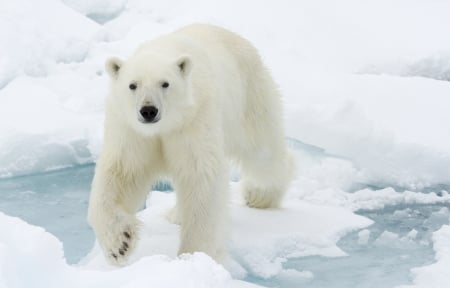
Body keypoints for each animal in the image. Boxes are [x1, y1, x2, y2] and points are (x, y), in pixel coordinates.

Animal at [88, 23, 296, 264]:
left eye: (165, 83)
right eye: (133, 85)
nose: (148, 110)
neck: (164, 126)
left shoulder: (194, 119)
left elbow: (200, 176)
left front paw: (194, 255)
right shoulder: (131, 130)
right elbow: (122, 173)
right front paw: (119, 243)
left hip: (249, 98)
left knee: (263, 154)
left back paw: (259, 196)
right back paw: (177, 214)